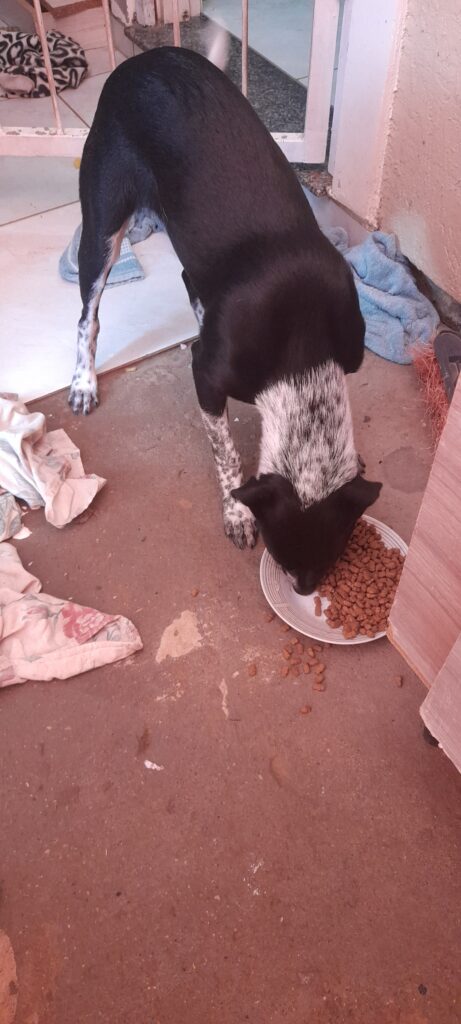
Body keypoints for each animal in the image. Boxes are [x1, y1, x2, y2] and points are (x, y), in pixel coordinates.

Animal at [70, 37, 381, 593]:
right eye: (284, 560)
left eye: (332, 558)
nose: (304, 591)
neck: (303, 354)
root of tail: (140, 61)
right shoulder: (208, 374)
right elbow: (226, 452)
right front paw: (237, 514)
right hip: (102, 222)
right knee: (89, 314)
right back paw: (84, 380)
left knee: (189, 280)